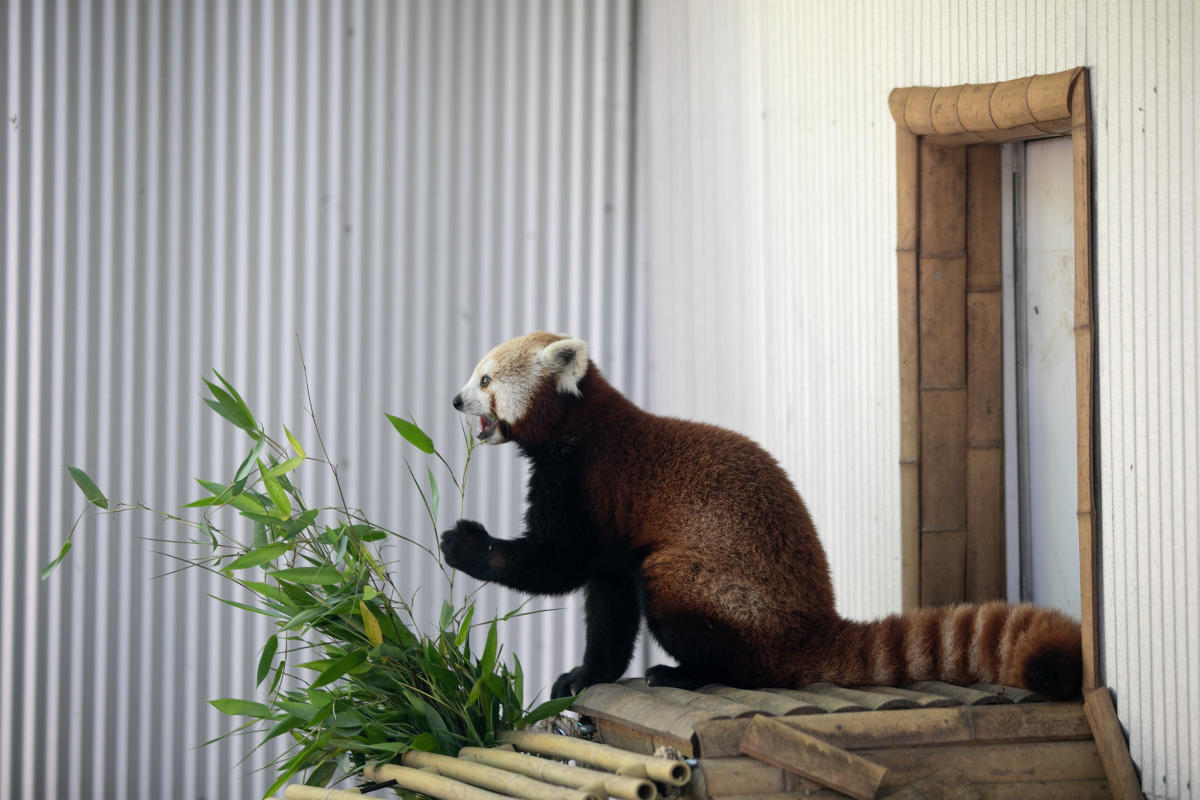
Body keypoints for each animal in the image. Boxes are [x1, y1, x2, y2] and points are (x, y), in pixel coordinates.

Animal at [442, 331, 1082, 700]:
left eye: (485, 379)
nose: (454, 399)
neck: (580, 424)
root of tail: (816, 624)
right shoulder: (609, 534)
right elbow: (606, 604)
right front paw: (587, 675)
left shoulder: (584, 478)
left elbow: (556, 563)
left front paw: (465, 544)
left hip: (710, 586)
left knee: (680, 598)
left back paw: (689, 673)